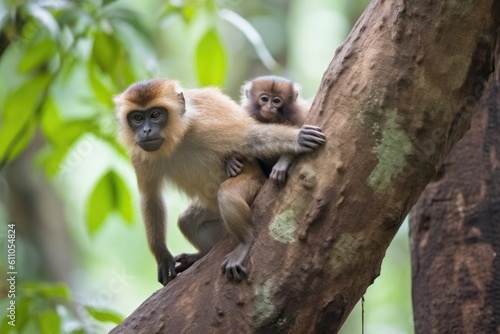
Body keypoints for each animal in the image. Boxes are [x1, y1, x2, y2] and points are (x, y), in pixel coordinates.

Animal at [113, 78, 324, 284]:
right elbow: (150, 197)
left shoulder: (206, 123)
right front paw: (162, 256)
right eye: (137, 118)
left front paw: (298, 139)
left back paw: (244, 242)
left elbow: (251, 139)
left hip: (254, 184)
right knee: (187, 221)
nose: (146, 130)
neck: (177, 137)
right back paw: (199, 256)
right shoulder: (139, 153)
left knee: (227, 195)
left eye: (155, 114)